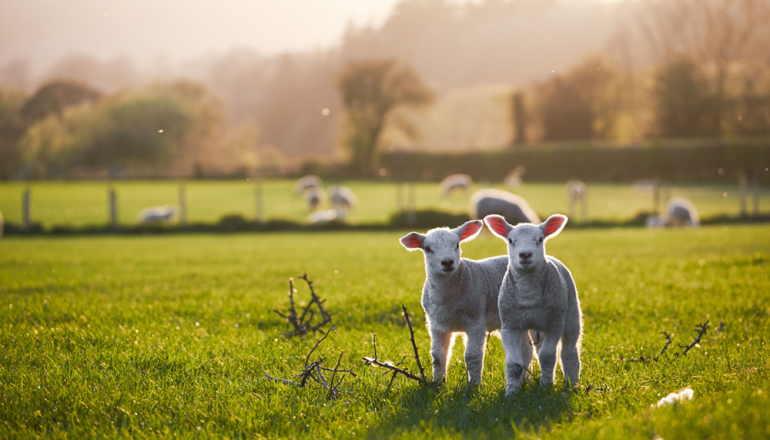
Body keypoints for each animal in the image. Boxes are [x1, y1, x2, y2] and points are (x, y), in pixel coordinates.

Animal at [396, 222, 528, 384]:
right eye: (428, 248)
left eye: (457, 244)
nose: (447, 262)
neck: (448, 300)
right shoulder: (436, 325)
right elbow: (438, 356)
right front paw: (438, 383)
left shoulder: (475, 320)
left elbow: (472, 356)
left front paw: (473, 385)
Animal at [484, 213, 580, 396]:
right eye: (510, 240)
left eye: (540, 239)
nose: (525, 254)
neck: (529, 295)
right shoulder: (510, 326)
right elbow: (514, 363)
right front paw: (511, 393)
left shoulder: (555, 324)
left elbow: (547, 357)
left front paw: (545, 388)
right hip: (529, 327)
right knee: (527, 353)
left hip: (571, 314)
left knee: (569, 352)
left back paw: (573, 384)